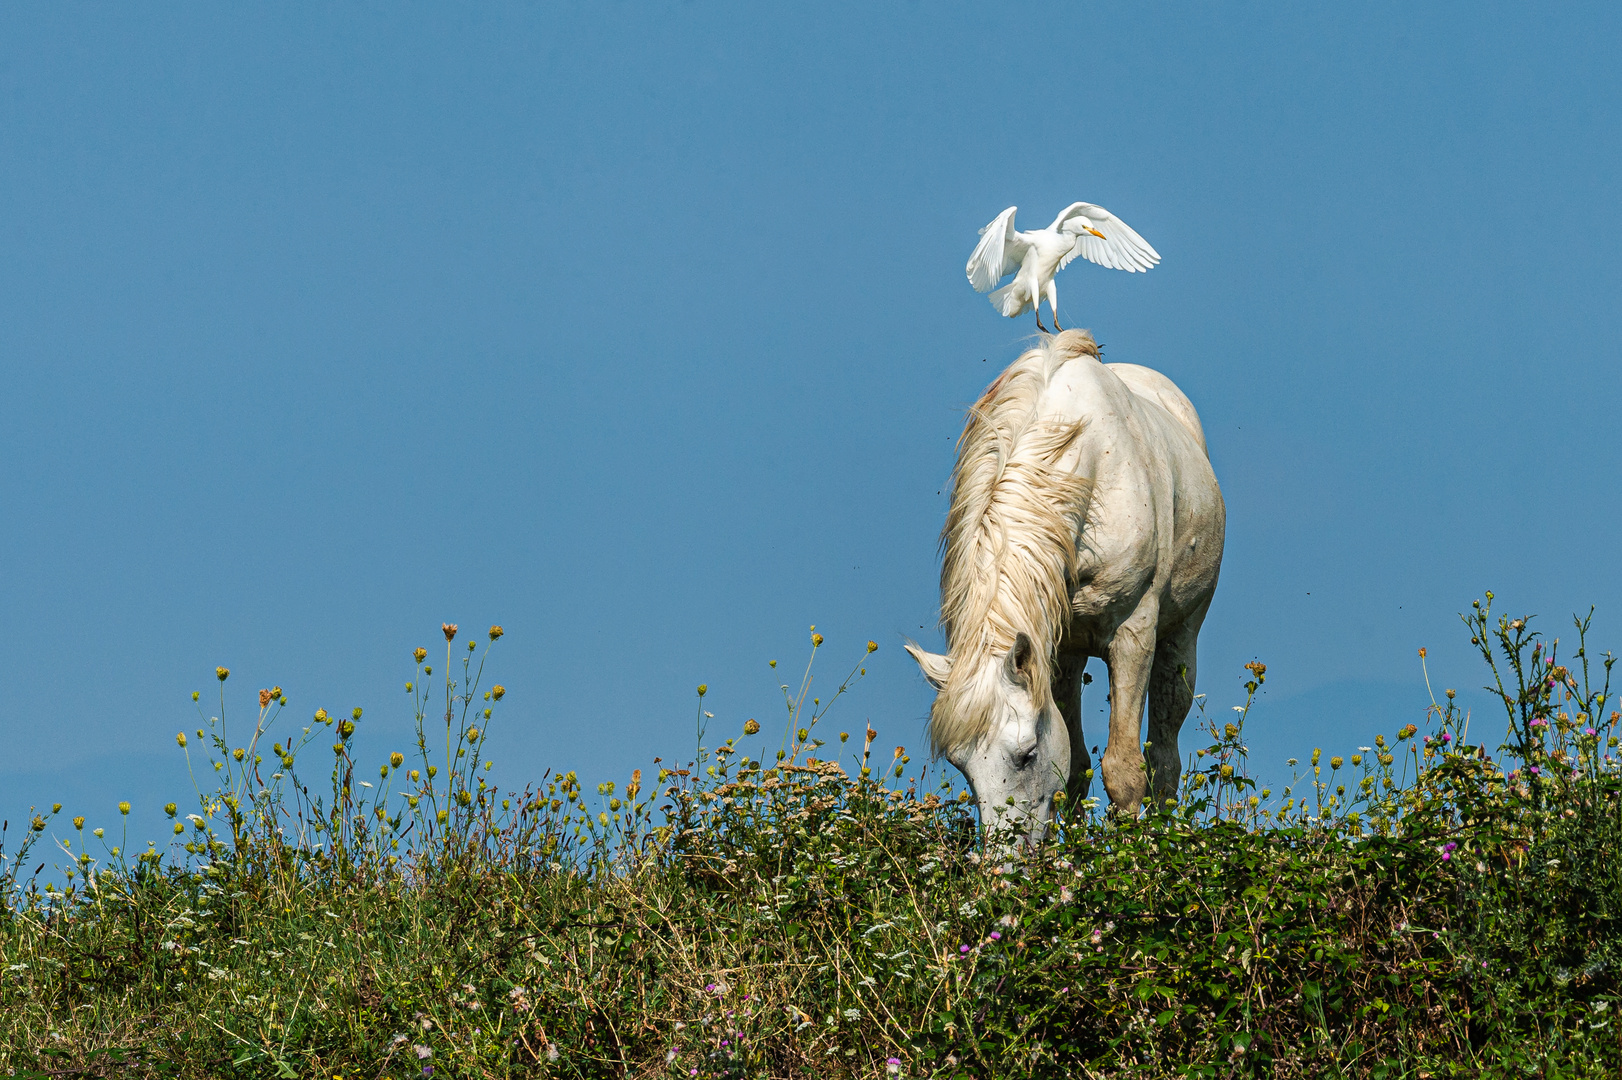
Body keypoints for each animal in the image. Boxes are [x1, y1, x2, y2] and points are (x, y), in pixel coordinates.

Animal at [908, 327, 1219, 843]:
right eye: (960, 766)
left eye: (1026, 755)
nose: (1003, 861)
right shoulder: (1049, 644)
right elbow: (1074, 767)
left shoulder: (1134, 634)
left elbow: (1124, 769)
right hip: (1068, 653)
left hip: (1181, 638)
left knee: (1164, 757)